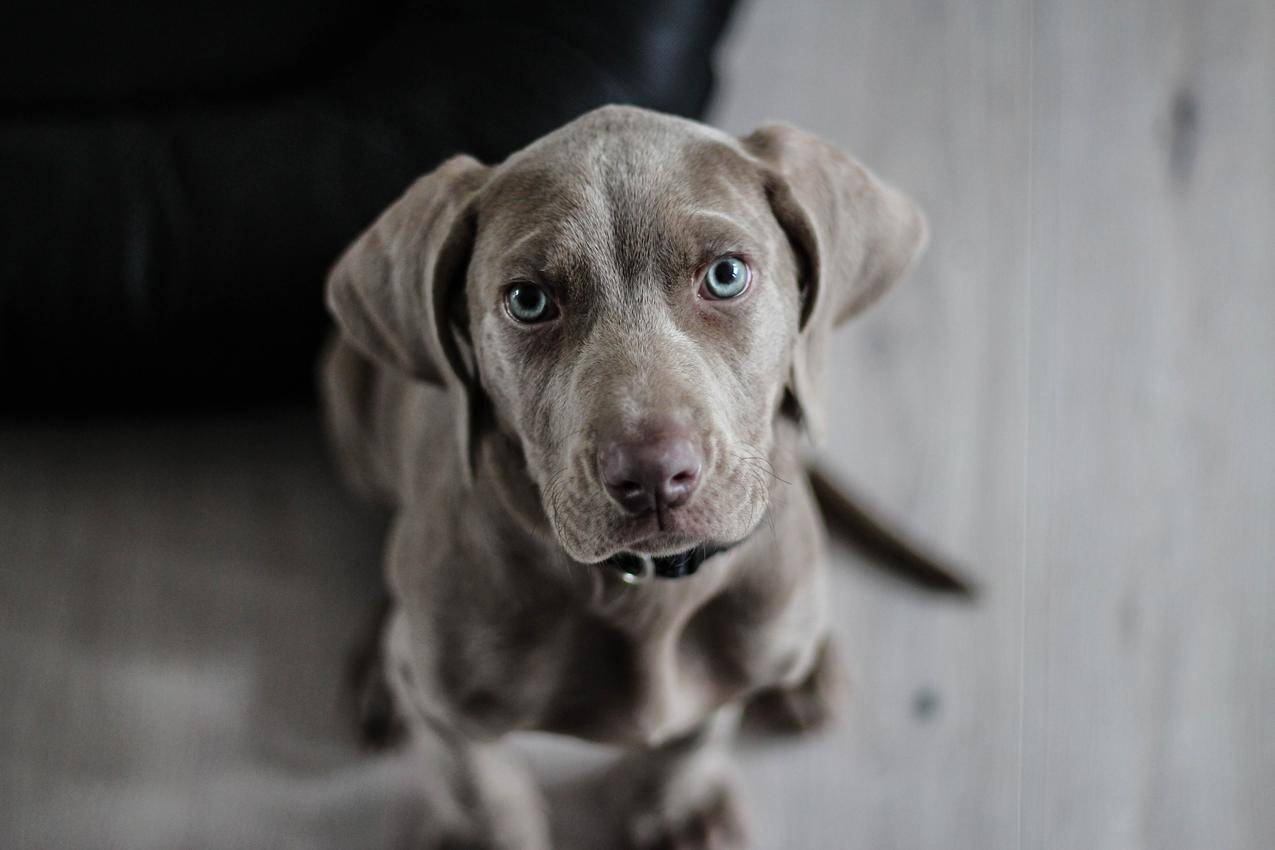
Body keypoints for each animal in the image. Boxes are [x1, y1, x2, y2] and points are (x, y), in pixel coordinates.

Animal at [321, 103, 938, 846]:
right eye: (527, 300)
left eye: (725, 275)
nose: (652, 475)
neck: (645, 593)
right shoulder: (448, 710)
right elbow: (478, 786)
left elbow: (696, 733)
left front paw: (676, 808)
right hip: (347, 399)